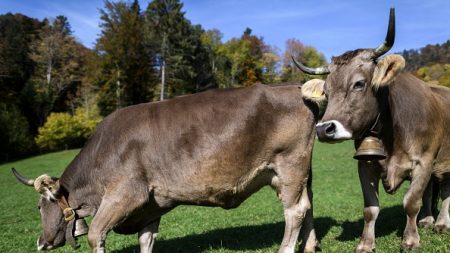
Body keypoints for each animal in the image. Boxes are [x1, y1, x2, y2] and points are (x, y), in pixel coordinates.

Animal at [13, 81, 324, 253]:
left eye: (39, 207)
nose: (40, 243)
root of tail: (293, 88)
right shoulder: (150, 207)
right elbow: (146, 241)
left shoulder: (125, 194)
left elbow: (94, 235)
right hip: (297, 174)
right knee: (308, 204)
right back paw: (310, 246)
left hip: (290, 165)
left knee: (295, 211)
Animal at [292, 7, 450, 253]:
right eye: (326, 91)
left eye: (359, 84)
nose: (324, 129)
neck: (393, 135)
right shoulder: (366, 164)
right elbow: (370, 209)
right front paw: (365, 243)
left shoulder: (424, 161)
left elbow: (411, 202)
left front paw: (410, 240)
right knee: (430, 192)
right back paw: (426, 220)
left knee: (444, 191)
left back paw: (441, 223)